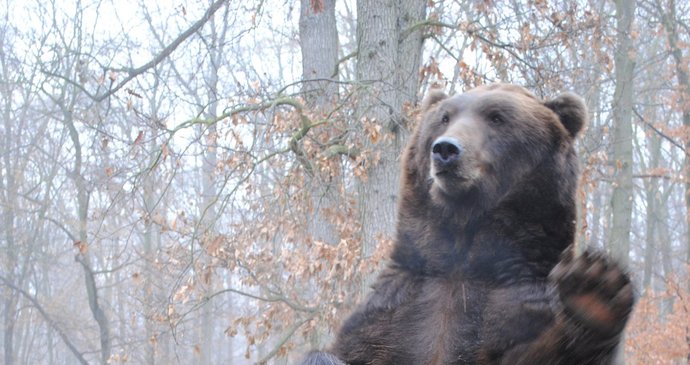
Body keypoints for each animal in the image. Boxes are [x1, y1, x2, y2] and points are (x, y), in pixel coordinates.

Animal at [300, 83, 636, 364]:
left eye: (497, 117)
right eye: (444, 117)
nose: (445, 149)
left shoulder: (523, 308)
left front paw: (593, 293)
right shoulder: (394, 307)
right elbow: (347, 348)